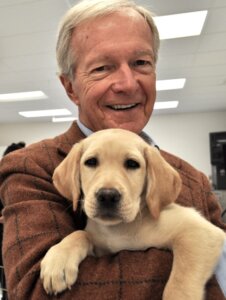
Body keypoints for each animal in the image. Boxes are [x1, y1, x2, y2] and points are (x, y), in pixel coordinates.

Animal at [40, 127, 224, 298]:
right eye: (91, 162)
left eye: (132, 164)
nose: (107, 196)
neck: (119, 229)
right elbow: (80, 234)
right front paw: (59, 259)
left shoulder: (199, 231)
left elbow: (179, 284)